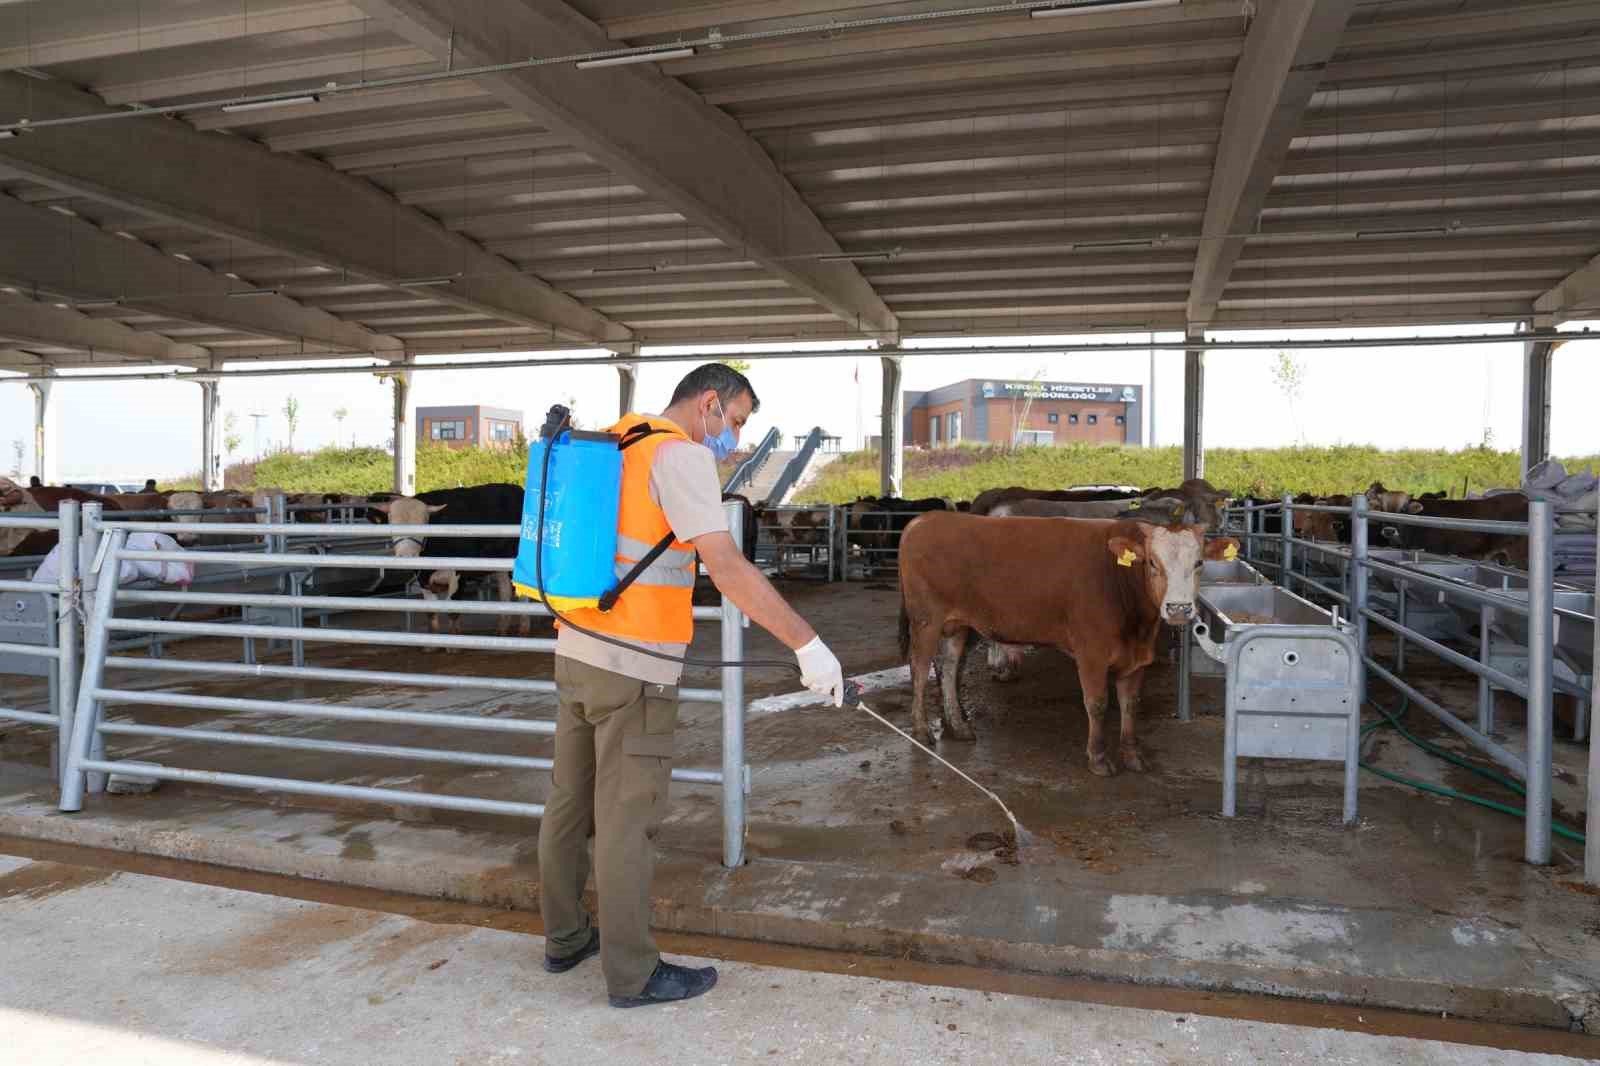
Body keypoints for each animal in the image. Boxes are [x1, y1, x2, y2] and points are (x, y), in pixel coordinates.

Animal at [902, 508, 1235, 771]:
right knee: (919, 668)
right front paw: (1098, 758)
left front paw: (1132, 755)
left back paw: (958, 726)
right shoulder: (1092, 654)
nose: (1179, 608)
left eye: (1199, 563)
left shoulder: (1137, 659)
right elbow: (1097, 703)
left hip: (957, 625)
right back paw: (921, 729)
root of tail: (923, 520)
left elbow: (1130, 705)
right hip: (926, 620)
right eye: (1152, 562)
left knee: (947, 667)